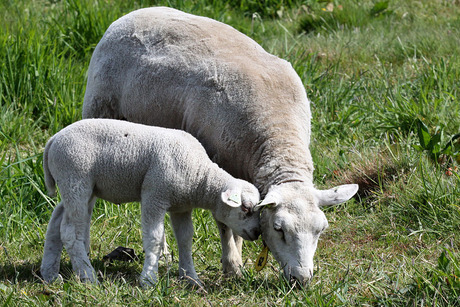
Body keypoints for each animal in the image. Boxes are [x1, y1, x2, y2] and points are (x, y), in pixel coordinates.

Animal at [40, 119, 258, 288]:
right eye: (246, 208)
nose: (256, 233)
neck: (199, 177)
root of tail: (53, 140)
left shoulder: (182, 207)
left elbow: (185, 239)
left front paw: (190, 277)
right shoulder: (155, 195)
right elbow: (154, 239)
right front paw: (149, 280)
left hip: (77, 186)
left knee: (56, 222)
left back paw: (50, 274)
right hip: (75, 178)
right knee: (70, 232)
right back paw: (87, 276)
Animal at [82, 7, 360, 286]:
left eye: (321, 230)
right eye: (279, 229)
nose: (301, 280)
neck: (277, 131)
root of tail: (133, 13)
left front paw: (238, 259)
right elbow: (224, 221)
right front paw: (232, 266)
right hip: (99, 108)